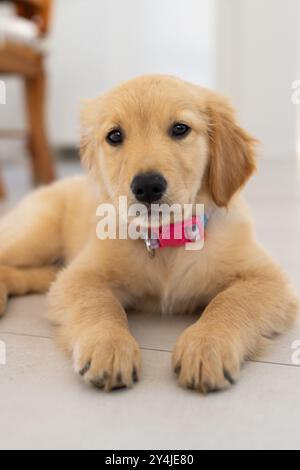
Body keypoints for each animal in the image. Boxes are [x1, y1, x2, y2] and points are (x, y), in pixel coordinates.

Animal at [0, 76, 298, 392]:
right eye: (114, 136)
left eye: (180, 128)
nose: (147, 187)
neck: (164, 239)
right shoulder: (80, 276)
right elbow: (100, 304)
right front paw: (109, 345)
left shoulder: (268, 279)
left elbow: (229, 302)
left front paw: (206, 346)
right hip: (35, 234)